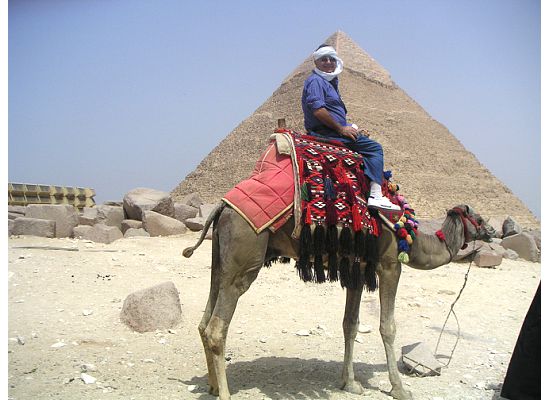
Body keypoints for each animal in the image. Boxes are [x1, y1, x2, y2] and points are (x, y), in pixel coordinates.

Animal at [183, 202, 494, 399]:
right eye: (479, 219)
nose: (493, 231)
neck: (411, 237)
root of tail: (222, 208)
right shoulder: (390, 264)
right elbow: (388, 327)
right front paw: (400, 389)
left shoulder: (356, 270)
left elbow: (350, 324)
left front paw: (350, 383)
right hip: (244, 258)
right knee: (217, 327)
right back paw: (225, 394)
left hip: (219, 259)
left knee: (204, 321)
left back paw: (212, 387)